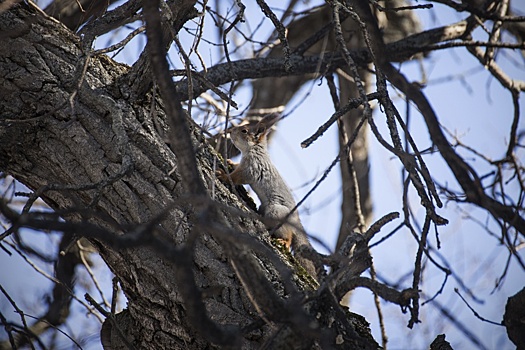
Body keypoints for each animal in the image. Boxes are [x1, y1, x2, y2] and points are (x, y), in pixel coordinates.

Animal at [216, 113, 320, 280]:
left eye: (244, 131)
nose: (230, 131)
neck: (254, 150)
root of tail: (295, 221)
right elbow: (237, 168)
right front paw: (231, 162)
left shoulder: (252, 168)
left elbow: (238, 177)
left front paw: (223, 175)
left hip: (275, 211)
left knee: (289, 236)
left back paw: (284, 242)